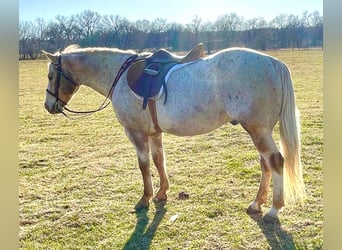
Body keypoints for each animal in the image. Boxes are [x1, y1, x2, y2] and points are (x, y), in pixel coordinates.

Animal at [41, 44, 306, 221]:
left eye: (51, 75)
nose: (48, 106)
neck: (120, 75)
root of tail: (273, 63)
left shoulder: (136, 133)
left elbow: (144, 165)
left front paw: (145, 198)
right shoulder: (154, 134)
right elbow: (159, 161)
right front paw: (161, 193)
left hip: (258, 130)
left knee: (276, 161)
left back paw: (273, 209)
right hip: (260, 130)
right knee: (265, 164)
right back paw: (256, 203)